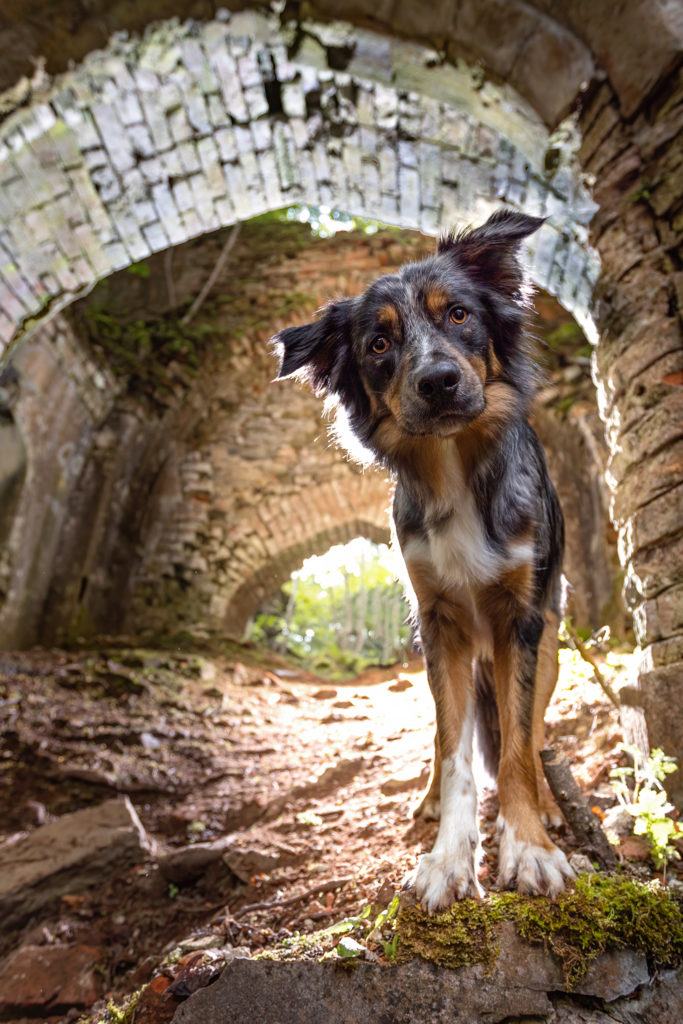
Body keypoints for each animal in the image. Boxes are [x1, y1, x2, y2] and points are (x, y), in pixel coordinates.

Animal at [270, 209, 573, 913]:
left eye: (459, 314)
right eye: (379, 345)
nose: (437, 381)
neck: (454, 463)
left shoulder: (520, 619)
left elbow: (516, 747)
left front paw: (529, 848)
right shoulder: (440, 622)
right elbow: (455, 752)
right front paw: (448, 860)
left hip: (549, 638)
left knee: (534, 730)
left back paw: (546, 805)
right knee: (444, 735)